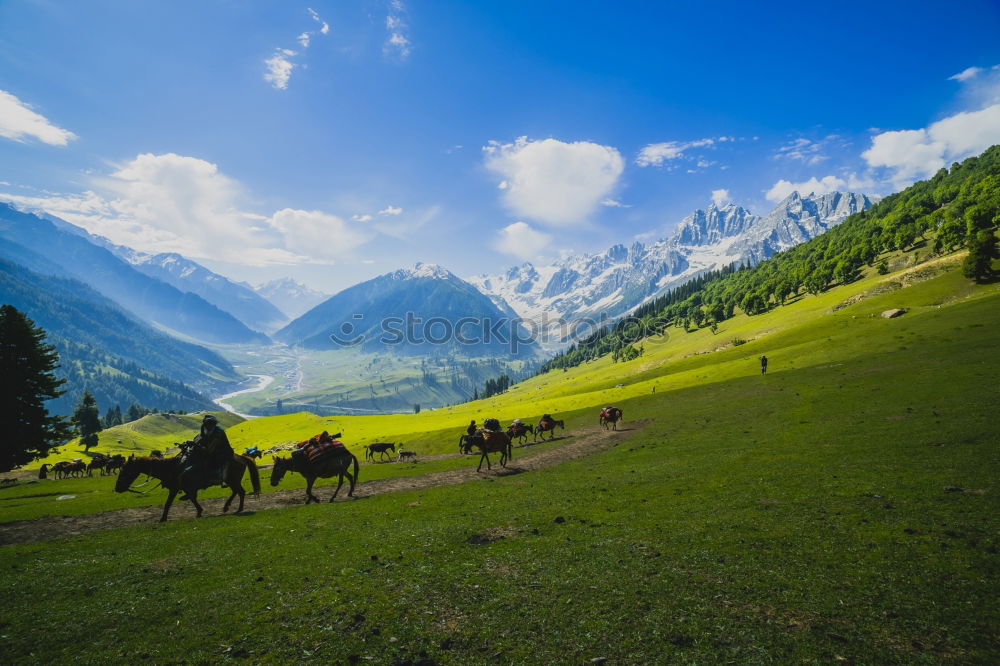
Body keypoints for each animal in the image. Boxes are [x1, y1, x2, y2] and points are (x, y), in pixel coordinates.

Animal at [114, 448, 262, 520]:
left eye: (125, 471)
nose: (117, 488)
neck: (170, 467)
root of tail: (242, 457)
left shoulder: (175, 489)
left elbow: (168, 503)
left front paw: (163, 518)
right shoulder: (187, 488)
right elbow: (192, 498)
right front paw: (199, 511)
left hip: (233, 480)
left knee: (240, 492)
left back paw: (234, 508)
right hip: (232, 481)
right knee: (238, 491)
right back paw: (229, 507)